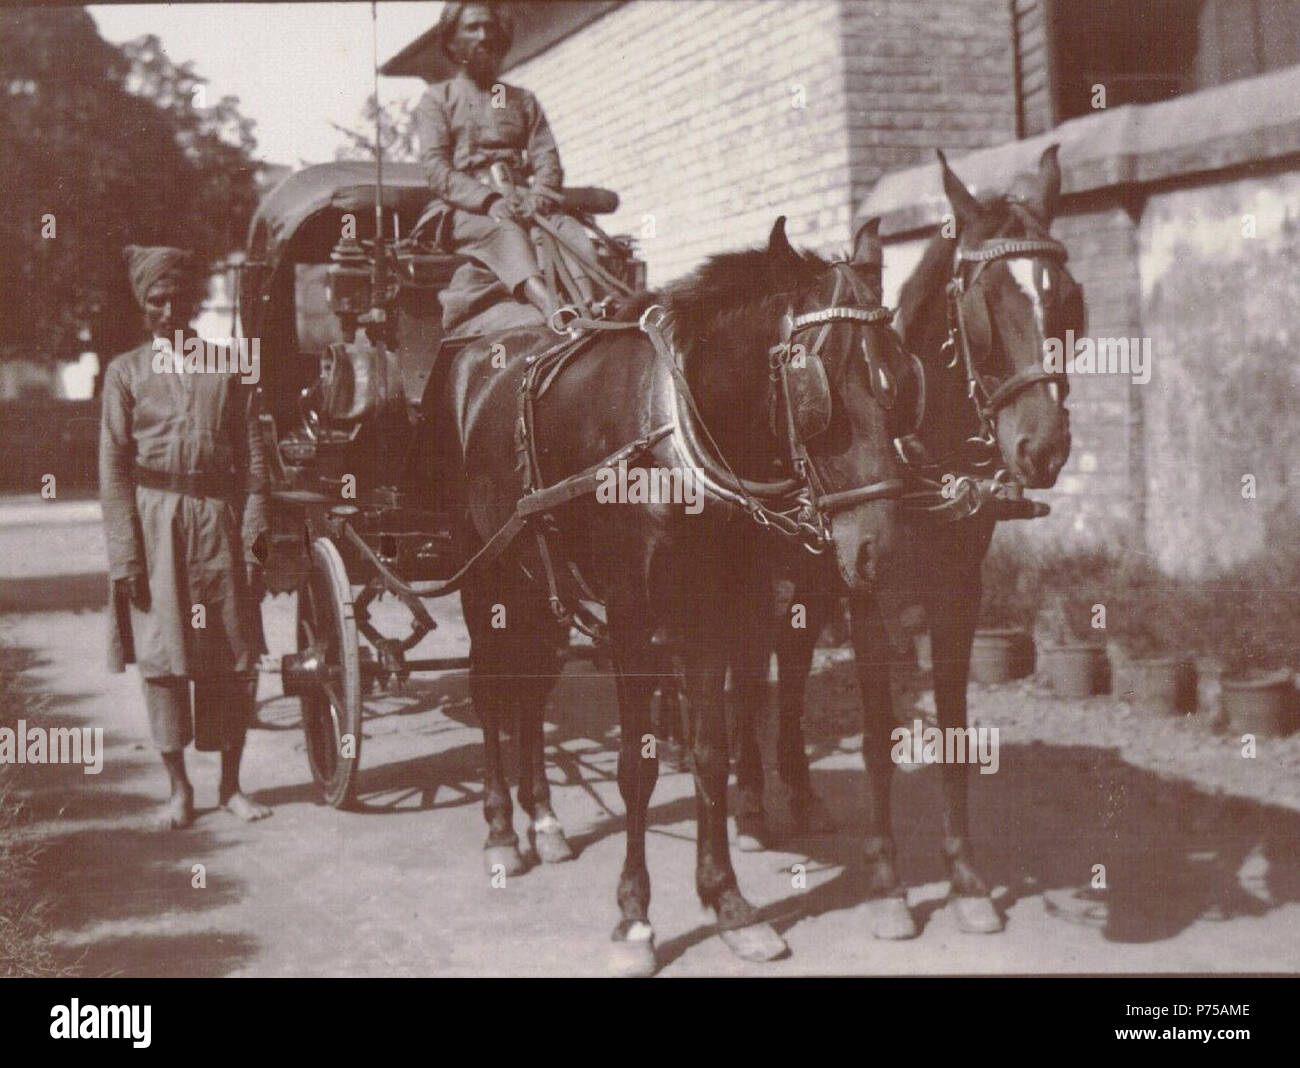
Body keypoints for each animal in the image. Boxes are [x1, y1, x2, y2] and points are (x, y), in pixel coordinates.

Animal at [436, 216, 915, 977]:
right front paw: (635, 917)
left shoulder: (714, 613)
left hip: (539, 585)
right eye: (817, 385)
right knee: (490, 696)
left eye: (902, 377)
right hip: (484, 574)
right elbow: (637, 767)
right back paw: (502, 830)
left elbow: (712, 753)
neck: (672, 442)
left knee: (531, 694)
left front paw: (728, 902)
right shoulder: (633, 620)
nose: (882, 550)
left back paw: (544, 819)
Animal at [733, 146, 1086, 940]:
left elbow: (952, 731)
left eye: (1070, 303)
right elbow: (875, 735)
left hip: (809, 581)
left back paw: (796, 794)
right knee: (738, 678)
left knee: (787, 668)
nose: (1043, 448)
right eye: (984, 307)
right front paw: (890, 882)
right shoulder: (871, 594)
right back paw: (748, 807)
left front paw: (966, 879)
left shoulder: (960, 591)